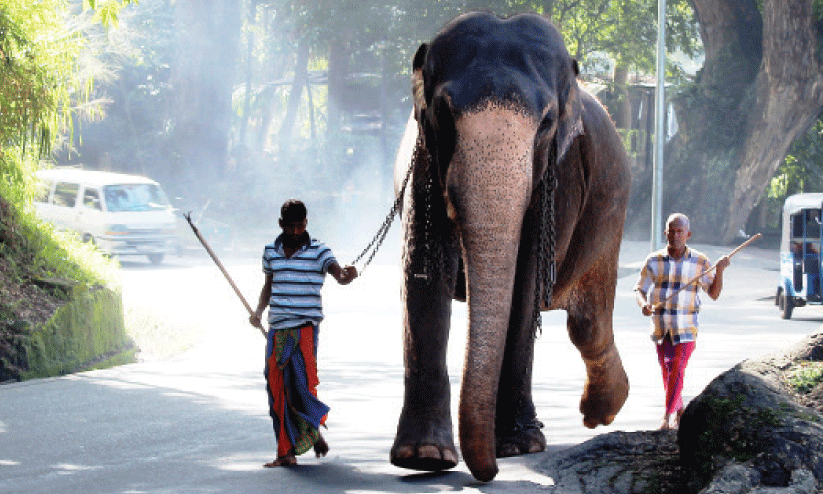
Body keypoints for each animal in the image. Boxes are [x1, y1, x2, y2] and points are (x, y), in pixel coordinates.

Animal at [392, 12, 632, 482]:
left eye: (546, 122)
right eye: (444, 112)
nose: (488, 473)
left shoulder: (557, 177)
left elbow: (525, 282)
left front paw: (518, 446)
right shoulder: (426, 159)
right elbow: (425, 273)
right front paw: (424, 457)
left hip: (611, 211)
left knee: (588, 323)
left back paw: (600, 413)